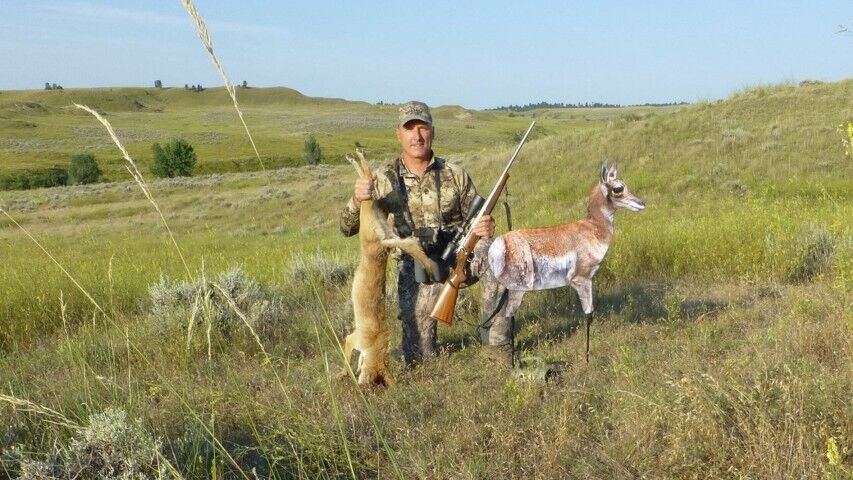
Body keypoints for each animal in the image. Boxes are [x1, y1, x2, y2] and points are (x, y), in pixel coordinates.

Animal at [343, 149, 434, 386]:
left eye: (373, 380)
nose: (362, 387)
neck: (377, 344)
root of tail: (381, 244)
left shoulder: (354, 339)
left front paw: (349, 371)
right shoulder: (353, 340)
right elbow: (347, 356)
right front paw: (347, 373)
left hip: (372, 218)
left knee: (369, 178)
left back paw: (355, 155)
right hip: (373, 219)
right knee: (368, 179)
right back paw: (356, 155)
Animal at [487, 161, 645, 362]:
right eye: (618, 188)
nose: (642, 203)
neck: (593, 228)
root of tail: (501, 242)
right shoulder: (581, 280)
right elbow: (588, 314)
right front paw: (587, 359)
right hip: (518, 289)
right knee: (510, 316)